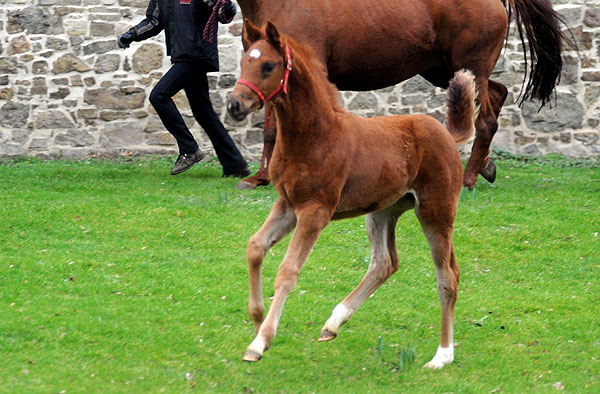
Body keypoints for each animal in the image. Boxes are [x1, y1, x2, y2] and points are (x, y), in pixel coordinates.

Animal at [227, 20, 480, 368]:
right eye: (243, 62)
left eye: (268, 65)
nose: (235, 105)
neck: (314, 136)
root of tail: (447, 134)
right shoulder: (288, 203)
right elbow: (255, 247)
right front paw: (257, 318)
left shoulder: (315, 210)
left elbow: (288, 271)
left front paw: (260, 341)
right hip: (383, 210)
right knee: (385, 262)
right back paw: (332, 323)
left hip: (435, 210)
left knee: (448, 275)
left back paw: (442, 355)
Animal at [234, 0, 568, 191]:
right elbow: (271, 130)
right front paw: (261, 176)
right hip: (446, 70)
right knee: (498, 94)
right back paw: (485, 165)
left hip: (470, 66)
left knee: (485, 120)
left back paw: (469, 178)